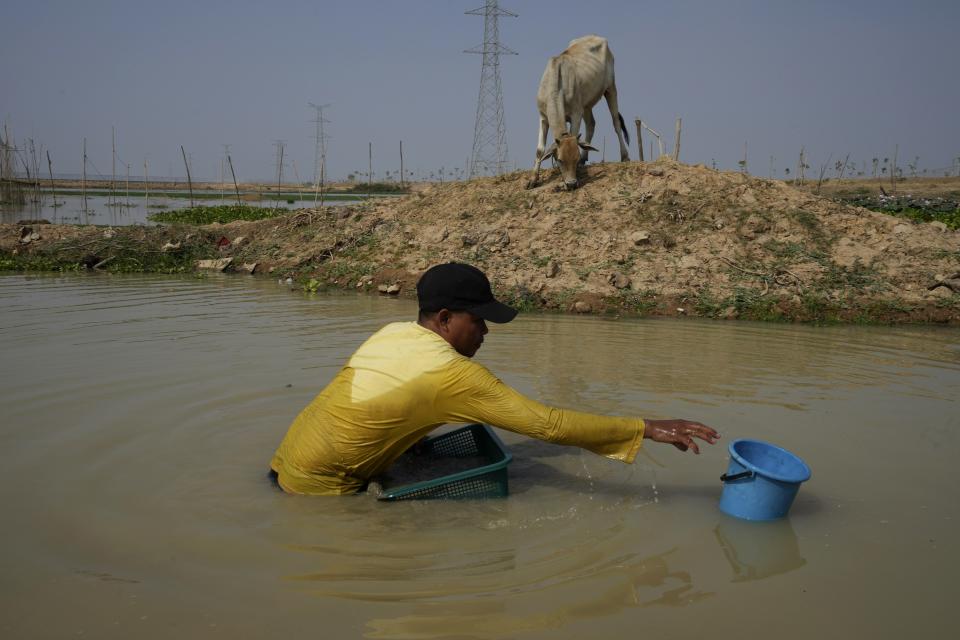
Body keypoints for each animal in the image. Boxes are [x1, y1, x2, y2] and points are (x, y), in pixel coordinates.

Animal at [532, 34, 632, 189]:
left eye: (575, 157)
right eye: (559, 160)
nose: (571, 184)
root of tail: (596, 36)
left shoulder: (576, 114)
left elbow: (575, 137)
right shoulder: (543, 117)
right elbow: (540, 150)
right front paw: (533, 180)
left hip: (610, 88)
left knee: (616, 122)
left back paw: (625, 156)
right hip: (587, 106)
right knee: (591, 124)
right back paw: (586, 157)